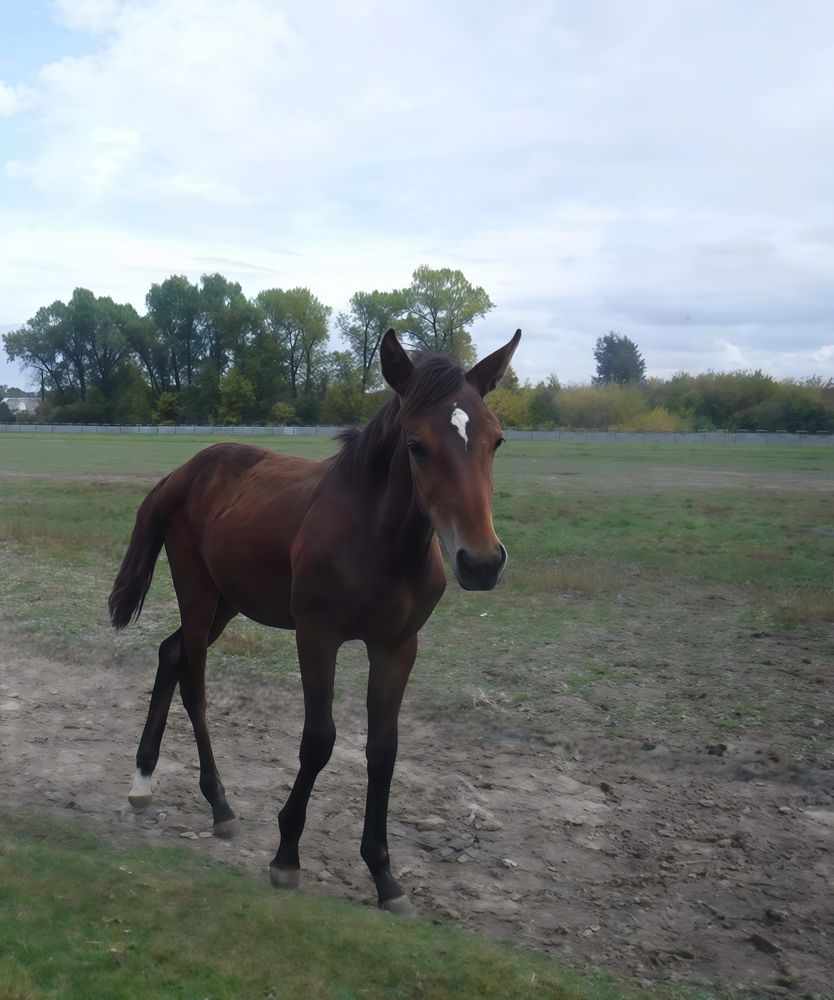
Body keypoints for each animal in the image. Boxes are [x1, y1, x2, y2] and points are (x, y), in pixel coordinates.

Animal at [109, 327, 520, 915]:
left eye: (496, 441)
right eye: (416, 445)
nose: (481, 562)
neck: (376, 540)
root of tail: (180, 474)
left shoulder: (397, 645)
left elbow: (383, 749)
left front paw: (384, 876)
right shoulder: (317, 636)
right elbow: (319, 739)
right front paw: (286, 856)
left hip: (228, 599)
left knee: (170, 655)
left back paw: (143, 780)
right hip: (197, 592)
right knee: (194, 684)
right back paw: (219, 805)